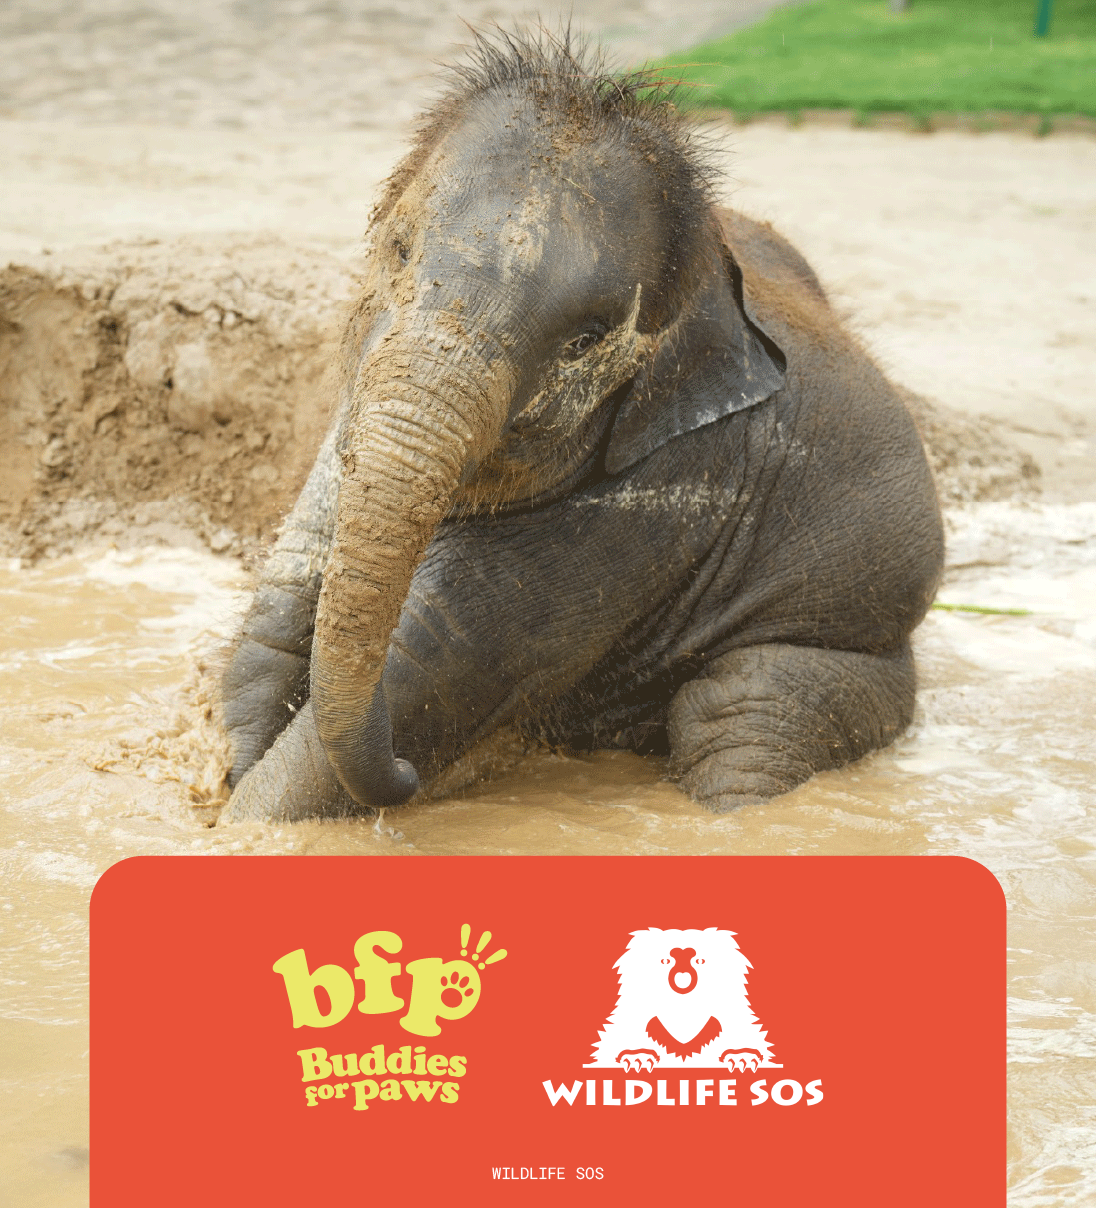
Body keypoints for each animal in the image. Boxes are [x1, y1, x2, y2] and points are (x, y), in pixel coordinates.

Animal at [219, 31, 944, 824]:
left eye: (585, 340)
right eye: (400, 250)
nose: (407, 779)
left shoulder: (648, 509)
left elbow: (420, 678)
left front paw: (246, 820)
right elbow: (280, 612)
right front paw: (229, 767)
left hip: (851, 638)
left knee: (737, 721)